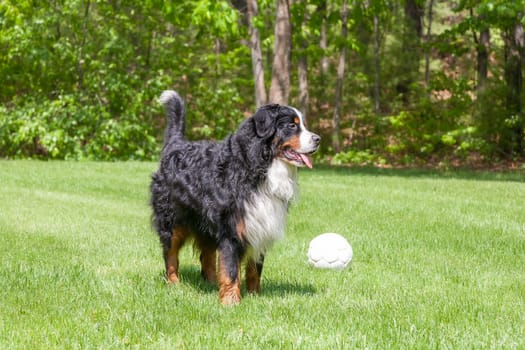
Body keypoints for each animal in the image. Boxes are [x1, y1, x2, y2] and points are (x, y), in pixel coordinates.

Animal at [148, 89, 320, 304]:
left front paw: (255, 296)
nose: (318, 139)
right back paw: (173, 284)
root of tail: (176, 144)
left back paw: (211, 283)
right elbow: (230, 269)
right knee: (170, 254)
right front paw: (231, 302)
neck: (258, 167)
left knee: (207, 255)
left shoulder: (259, 225)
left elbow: (253, 269)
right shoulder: (232, 228)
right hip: (172, 220)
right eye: (292, 125)